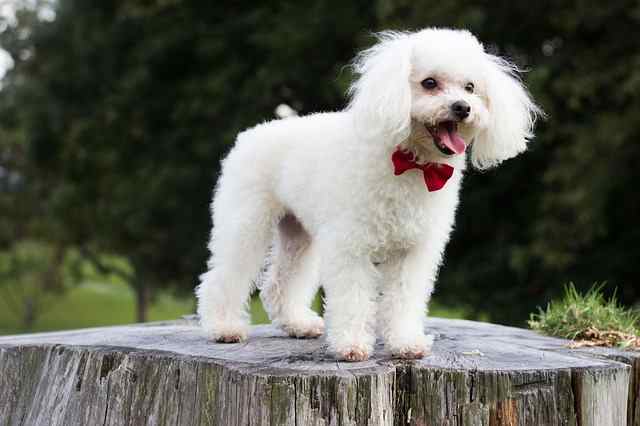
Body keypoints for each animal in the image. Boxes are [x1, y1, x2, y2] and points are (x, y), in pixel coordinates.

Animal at [195, 27, 540, 360]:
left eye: (470, 87)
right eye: (429, 83)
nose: (463, 108)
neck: (410, 162)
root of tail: (251, 134)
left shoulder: (412, 251)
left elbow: (403, 299)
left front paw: (406, 343)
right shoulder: (350, 247)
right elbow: (353, 298)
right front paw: (351, 346)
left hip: (298, 232)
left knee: (280, 283)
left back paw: (298, 324)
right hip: (246, 222)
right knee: (224, 276)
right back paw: (224, 327)